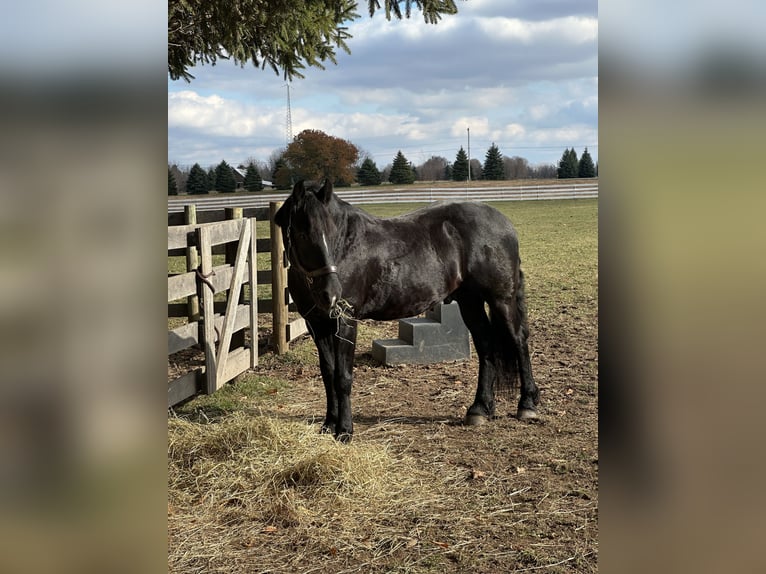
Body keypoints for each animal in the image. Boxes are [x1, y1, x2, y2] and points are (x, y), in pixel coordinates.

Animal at [274, 180, 540, 442]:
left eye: (332, 232)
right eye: (302, 233)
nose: (332, 294)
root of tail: (504, 222)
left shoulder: (345, 322)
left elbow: (343, 376)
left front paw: (345, 430)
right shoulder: (317, 324)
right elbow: (328, 374)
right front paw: (329, 424)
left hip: (501, 300)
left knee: (518, 340)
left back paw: (527, 405)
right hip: (470, 302)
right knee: (486, 345)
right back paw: (480, 409)